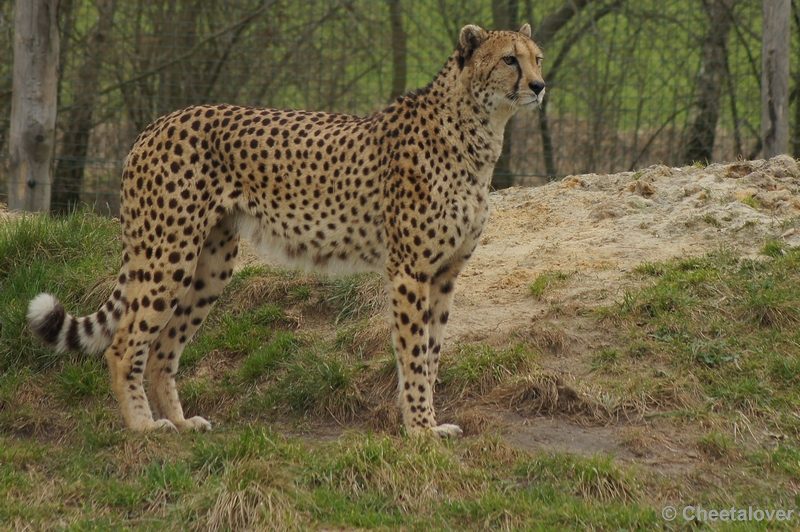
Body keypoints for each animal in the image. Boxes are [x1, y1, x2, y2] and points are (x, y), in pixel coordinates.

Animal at [28, 22, 548, 436]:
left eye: (536, 57)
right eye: (509, 59)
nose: (541, 85)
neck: (476, 129)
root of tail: (158, 123)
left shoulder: (444, 273)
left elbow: (432, 353)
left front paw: (428, 424)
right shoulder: (410, 271)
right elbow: (415, 356)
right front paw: (420, 430)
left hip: (211, 263)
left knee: (162, 348)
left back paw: (180, 421)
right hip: (168, 252)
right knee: (124, 344)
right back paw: (143, 426)